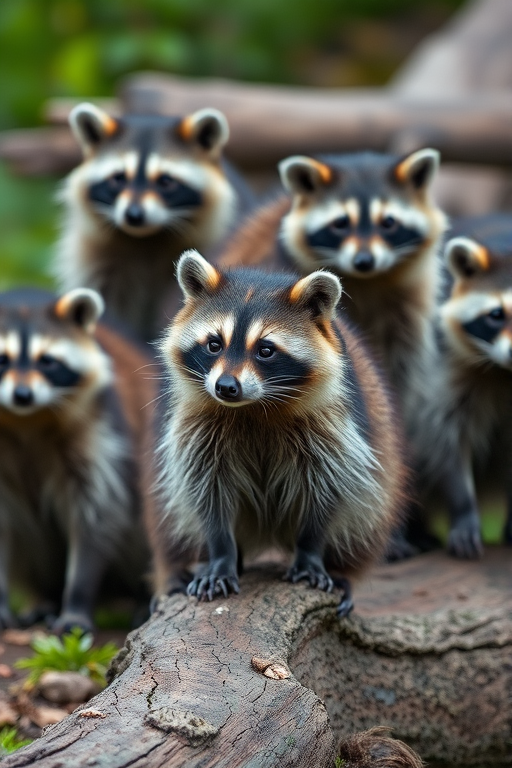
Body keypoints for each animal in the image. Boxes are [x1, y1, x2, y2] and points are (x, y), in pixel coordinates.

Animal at [0, 287, 155, 632]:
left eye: (47, 361)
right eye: (2, 359)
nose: (22, 395)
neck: (25, 419)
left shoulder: (99, 425)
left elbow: (98, 514)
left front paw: (77, 600)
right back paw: (44, 597)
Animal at [151, 250, 407, 615]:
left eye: (265, 349)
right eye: (214, 344)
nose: (225, 387)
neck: (252, 406)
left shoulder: (334, 430)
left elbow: (329, 490)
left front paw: (311, 553)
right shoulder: (196, 428)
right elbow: (206, 491)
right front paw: (220, 555)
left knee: (362, 521)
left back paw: (342, 573)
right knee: (175, 523)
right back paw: (181, 572)